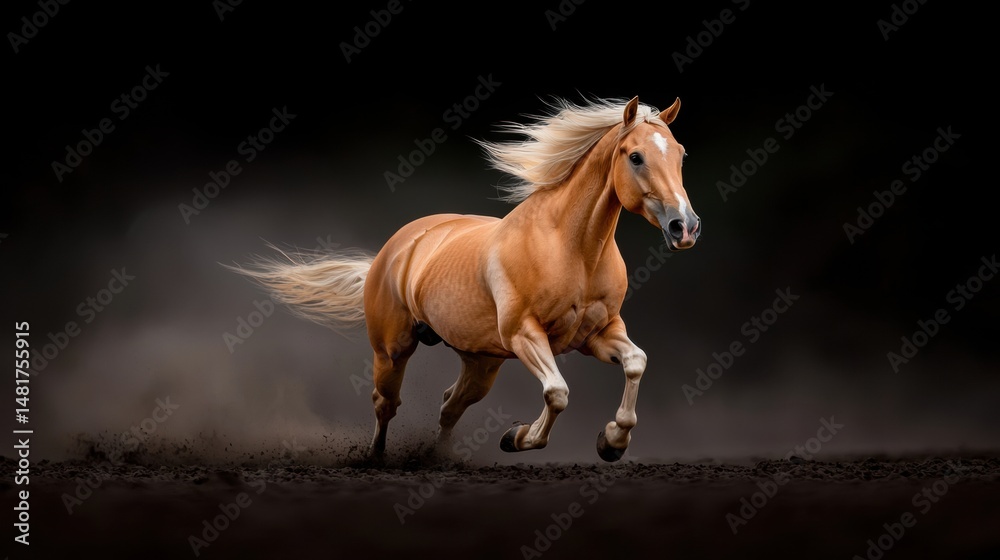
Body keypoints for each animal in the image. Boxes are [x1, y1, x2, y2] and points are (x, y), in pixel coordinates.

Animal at [230, 96, 701, 462]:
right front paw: (516, 437)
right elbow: (558, 393)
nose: (685, 227)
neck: (573, 249)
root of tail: (395, 249)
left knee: (449, 406)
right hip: (393, 350)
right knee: (386, 403)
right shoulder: (525, 335)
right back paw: (377, 459)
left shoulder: (598, 334)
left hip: (481, 361)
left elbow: (636, 362)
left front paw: (612, 442)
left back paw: (437, 459)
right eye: (635, 156)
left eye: (679, 154)